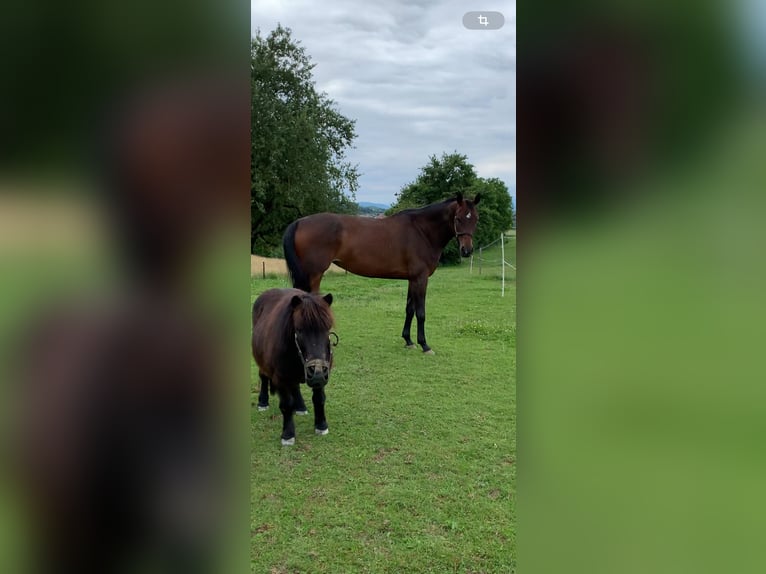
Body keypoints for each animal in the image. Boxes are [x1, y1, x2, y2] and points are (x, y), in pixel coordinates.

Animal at [252, 290, 336, 448]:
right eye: (299, 330)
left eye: (327, 328)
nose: (316, 370)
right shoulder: (281, 378)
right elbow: (286, 405)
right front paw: (288, 434)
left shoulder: (321, 376)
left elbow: (319, 399)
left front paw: (321, 425)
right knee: (263, 376)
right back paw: (263, 402)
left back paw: (301, 406)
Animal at [284, 194, 484, 356]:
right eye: (458, 218)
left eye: (475, 219)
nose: (467, 250)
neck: (422, 231)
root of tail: (300, 222)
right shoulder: (421, 278)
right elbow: (421, 312)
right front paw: (425, 345)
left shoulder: (412, 279)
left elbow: (409, 309)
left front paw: (408, 341)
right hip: (315, 274)